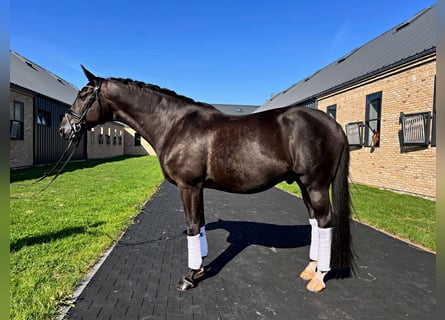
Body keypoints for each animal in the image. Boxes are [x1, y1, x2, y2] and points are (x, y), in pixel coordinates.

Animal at [59, 67, 352, 292]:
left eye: (83, 94)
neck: (175, 124)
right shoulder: (197, 187)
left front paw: (188, 277)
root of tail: (333, 124)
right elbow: (199, 224)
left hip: (315, 185)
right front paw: (199, 269)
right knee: (315, 223)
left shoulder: (188, 186)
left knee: (325, 222)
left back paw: (319, 278)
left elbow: (191, 226)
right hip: (304, 185)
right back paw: (311, 269)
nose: (64, 129)